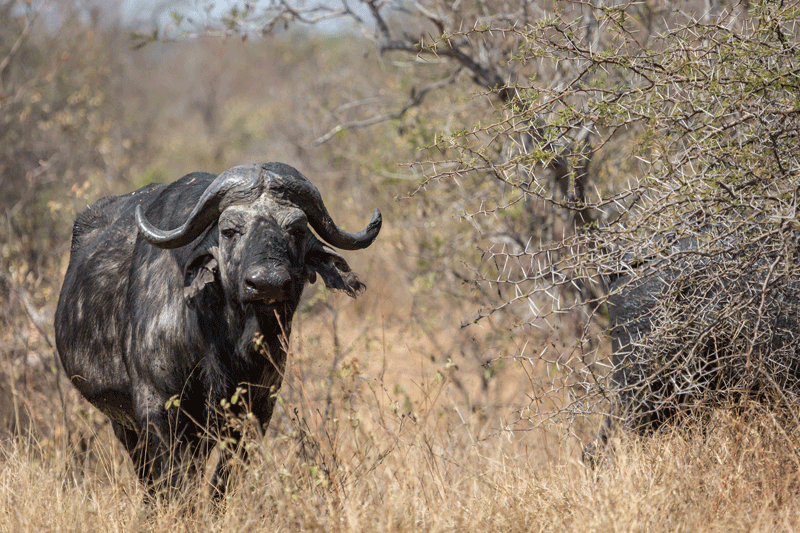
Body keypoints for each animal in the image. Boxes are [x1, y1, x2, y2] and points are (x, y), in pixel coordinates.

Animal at [54, 162, 381, 497]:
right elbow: (172, 482)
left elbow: (223, 481)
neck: (221, 339)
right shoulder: (156, 407)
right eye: (229, 231)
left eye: (297, 230)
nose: (268, 283)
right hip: (123, 423)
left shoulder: (256, 409)